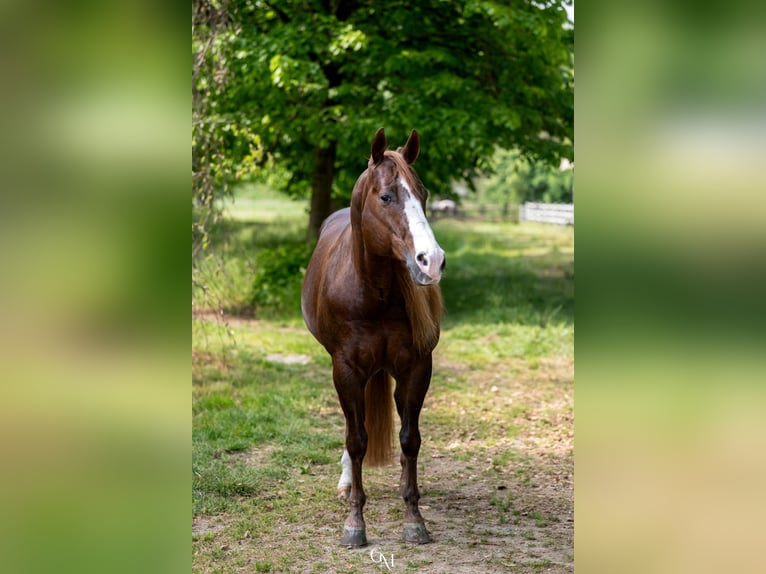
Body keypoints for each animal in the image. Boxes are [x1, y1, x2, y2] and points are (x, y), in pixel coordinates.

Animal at [301, 128, 445, 547]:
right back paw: (348, 482)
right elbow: (357, 440)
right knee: (354, 428)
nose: (431, 260)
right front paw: (354, 522)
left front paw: (414, 517)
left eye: (424, 193)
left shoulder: (416, 368)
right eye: (386, 196)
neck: (371, 293)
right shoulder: (346, 370)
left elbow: (410, 439)